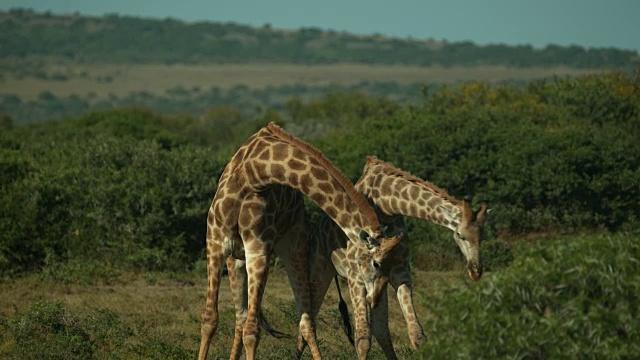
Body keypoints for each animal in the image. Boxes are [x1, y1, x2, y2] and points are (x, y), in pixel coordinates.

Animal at [198, 122, 402, 358]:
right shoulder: (215, 243)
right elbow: (210, 320)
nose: (375, 299)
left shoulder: (258, 249)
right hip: (236, 259)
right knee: (241, 317)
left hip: (294, 248)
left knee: (305, 323)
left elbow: (252, 330)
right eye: (377, 264)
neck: (254, 172)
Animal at [296, 156, 490, 358]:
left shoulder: (399, 271)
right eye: (461, 235)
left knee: (380, 329)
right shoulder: (355, 275)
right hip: (318, 272)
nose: (476, 271)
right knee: (306, 324)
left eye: (483, 236)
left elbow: (416, 334)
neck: (386, 207)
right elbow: (362, 340)